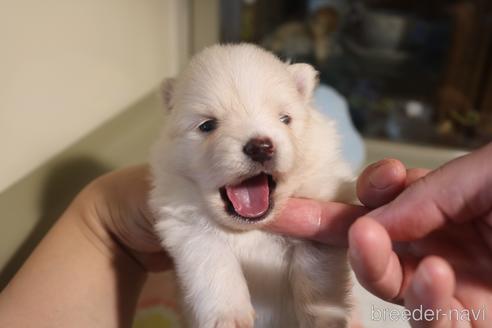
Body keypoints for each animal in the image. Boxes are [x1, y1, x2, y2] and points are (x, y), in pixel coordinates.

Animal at [148, 44, 356, 328]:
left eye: (284, 119)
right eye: (207, 125)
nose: (260, 147)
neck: (251, 230)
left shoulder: (321, 220)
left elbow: (315, 277)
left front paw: (326, 319)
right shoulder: (185, 226)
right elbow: (212, 262)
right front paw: (229, 317)